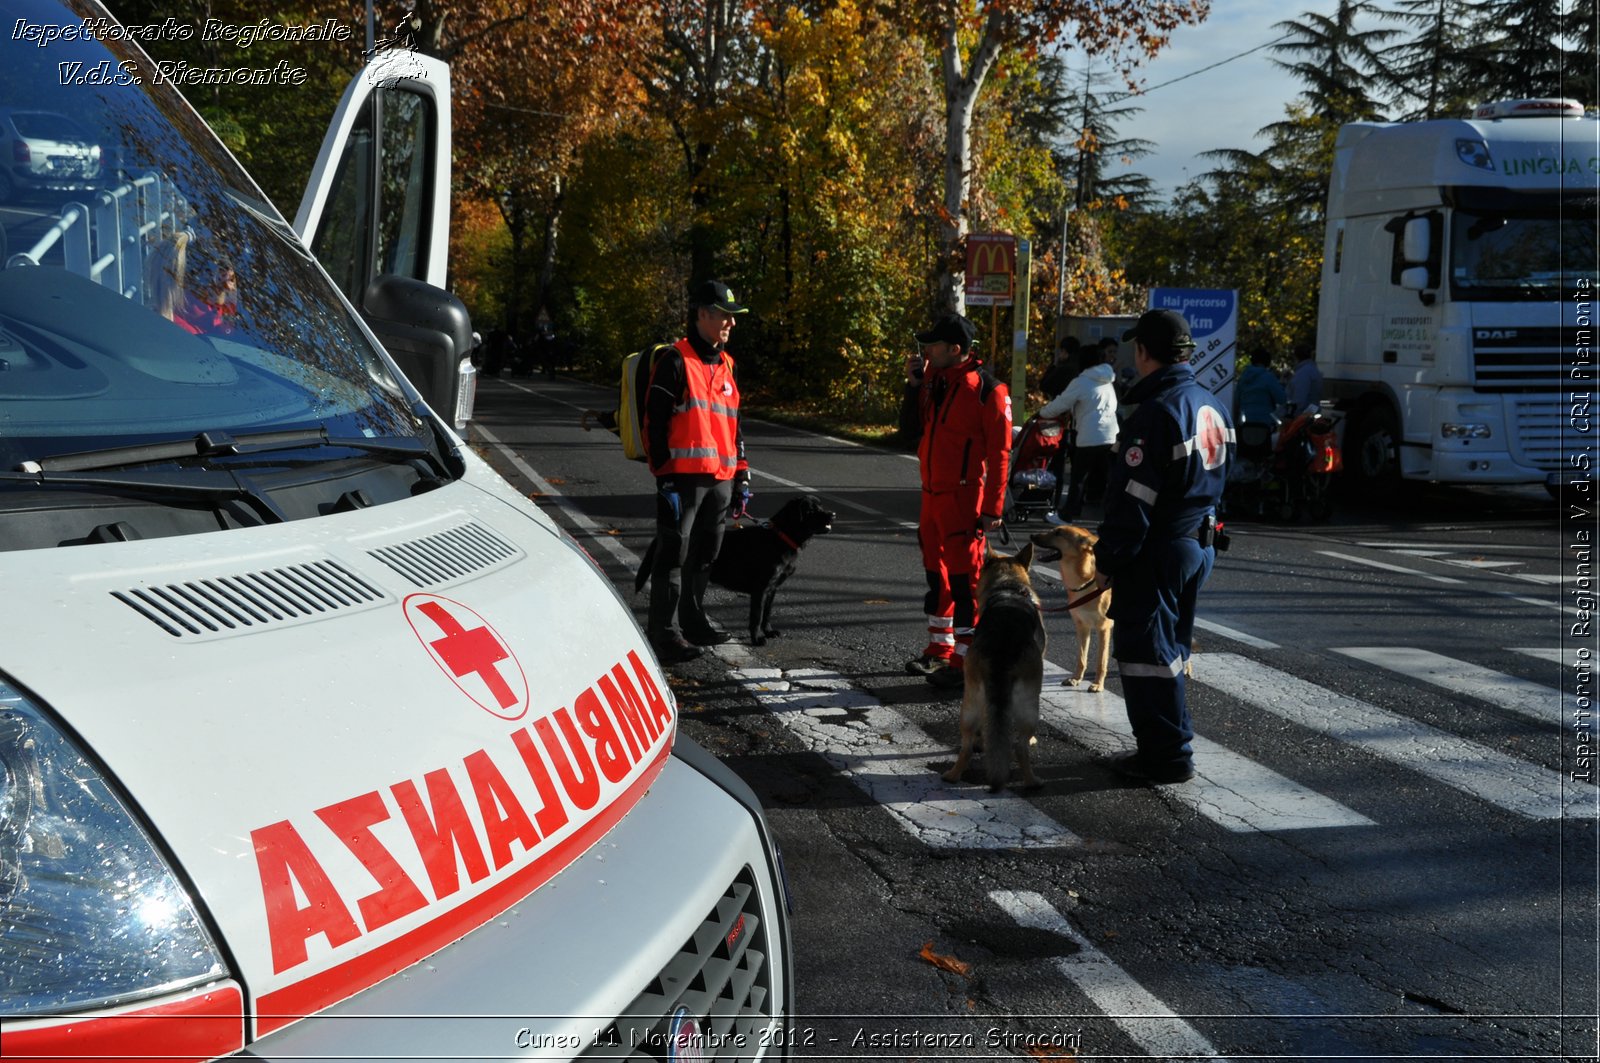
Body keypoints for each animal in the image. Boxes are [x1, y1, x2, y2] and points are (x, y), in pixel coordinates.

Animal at [636, 493, 838, 643]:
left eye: (821, 506)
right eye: (811, 510)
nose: (833, 514)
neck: (780, 537)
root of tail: (660, 537)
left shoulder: (772, 589)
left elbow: (767, 613)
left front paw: (769, 631)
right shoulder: (760, 589)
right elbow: (756, 616)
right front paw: (757, 638)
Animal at [934, 547, 1049, 787]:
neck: (1009, 586)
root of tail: (1001, 647)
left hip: (970, 702)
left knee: (967, 746)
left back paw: (954, 774)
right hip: (1029, 705)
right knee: (1020, 748)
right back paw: (1033, 781)